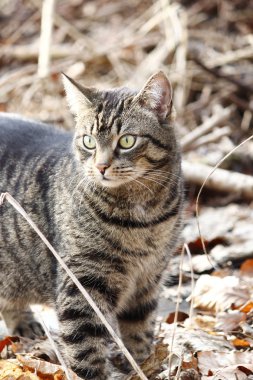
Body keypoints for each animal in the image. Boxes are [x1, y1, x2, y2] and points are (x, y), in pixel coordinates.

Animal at [0, 70, 183, 378]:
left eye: (127, 141)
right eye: (88, 141)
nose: (101, 166)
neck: (142, 217)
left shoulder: (149, 278)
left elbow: (139, 330)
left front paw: (141, 365)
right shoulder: (82, 281)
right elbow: (85, 347)